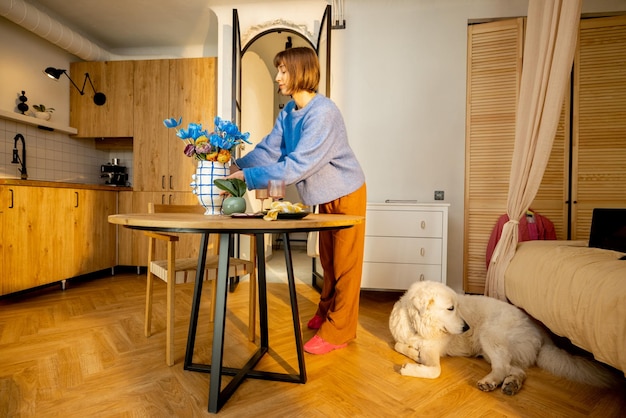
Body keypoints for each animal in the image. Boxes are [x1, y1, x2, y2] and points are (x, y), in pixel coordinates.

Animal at [388, 280, 612, 396]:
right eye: (450, 308)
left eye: (457, 307)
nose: (467, 327)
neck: (418, 326)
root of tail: (541, 331)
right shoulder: (403, 339)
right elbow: (399, 345)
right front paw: (414, 353)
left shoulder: (434, 353)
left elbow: (434, 371)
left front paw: (410, 367)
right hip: (493, 350)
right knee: (517, 370)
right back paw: (512, 384)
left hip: (489, 335)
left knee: (502, 368)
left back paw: (489, 382)